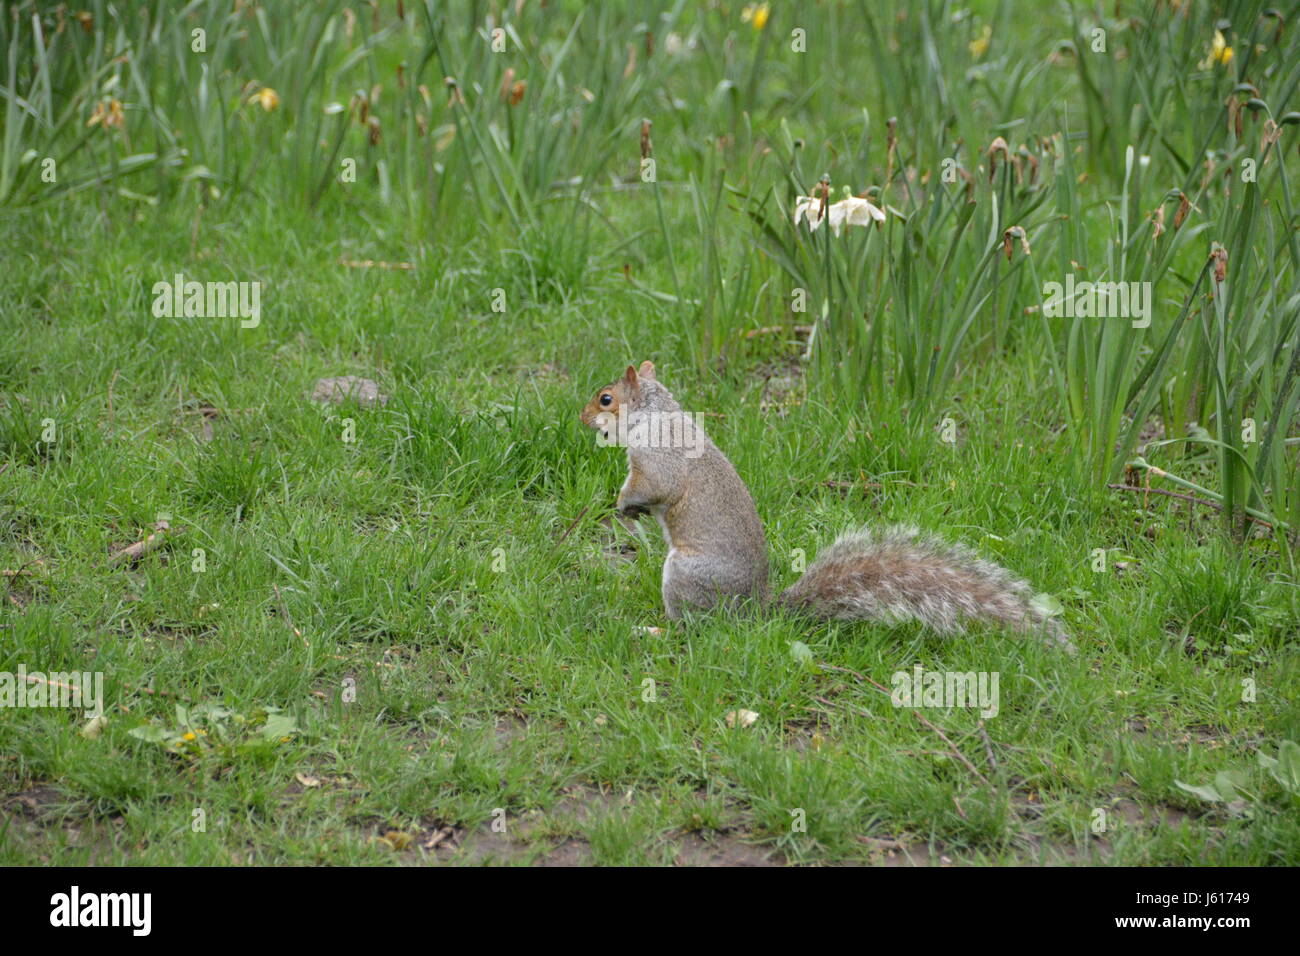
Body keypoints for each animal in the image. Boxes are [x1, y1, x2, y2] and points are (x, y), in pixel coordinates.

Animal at [585, 361, 1071, 655]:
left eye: (606, 398)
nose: (582, 416)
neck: (655, 413)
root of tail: (754, 611)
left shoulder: (656, 460)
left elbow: (653, 486)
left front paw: (624, 504)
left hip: (685, 576)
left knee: (694, 626)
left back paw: (655, 630)